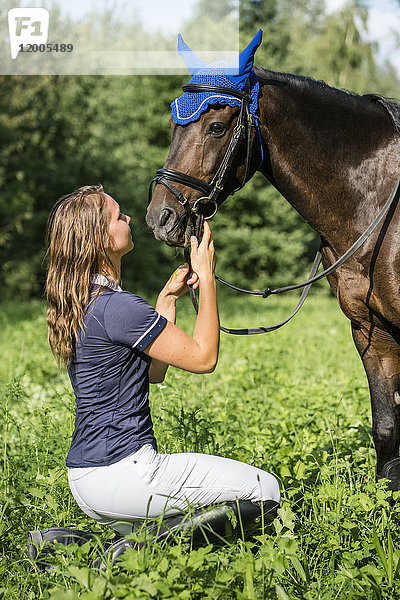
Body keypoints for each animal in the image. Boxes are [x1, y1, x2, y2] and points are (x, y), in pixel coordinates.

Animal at [145, 65, 400, 488]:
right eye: (171, 126)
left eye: (216, 127)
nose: (159, 218)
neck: (378, 206)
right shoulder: (371, 331)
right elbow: (387, 430)